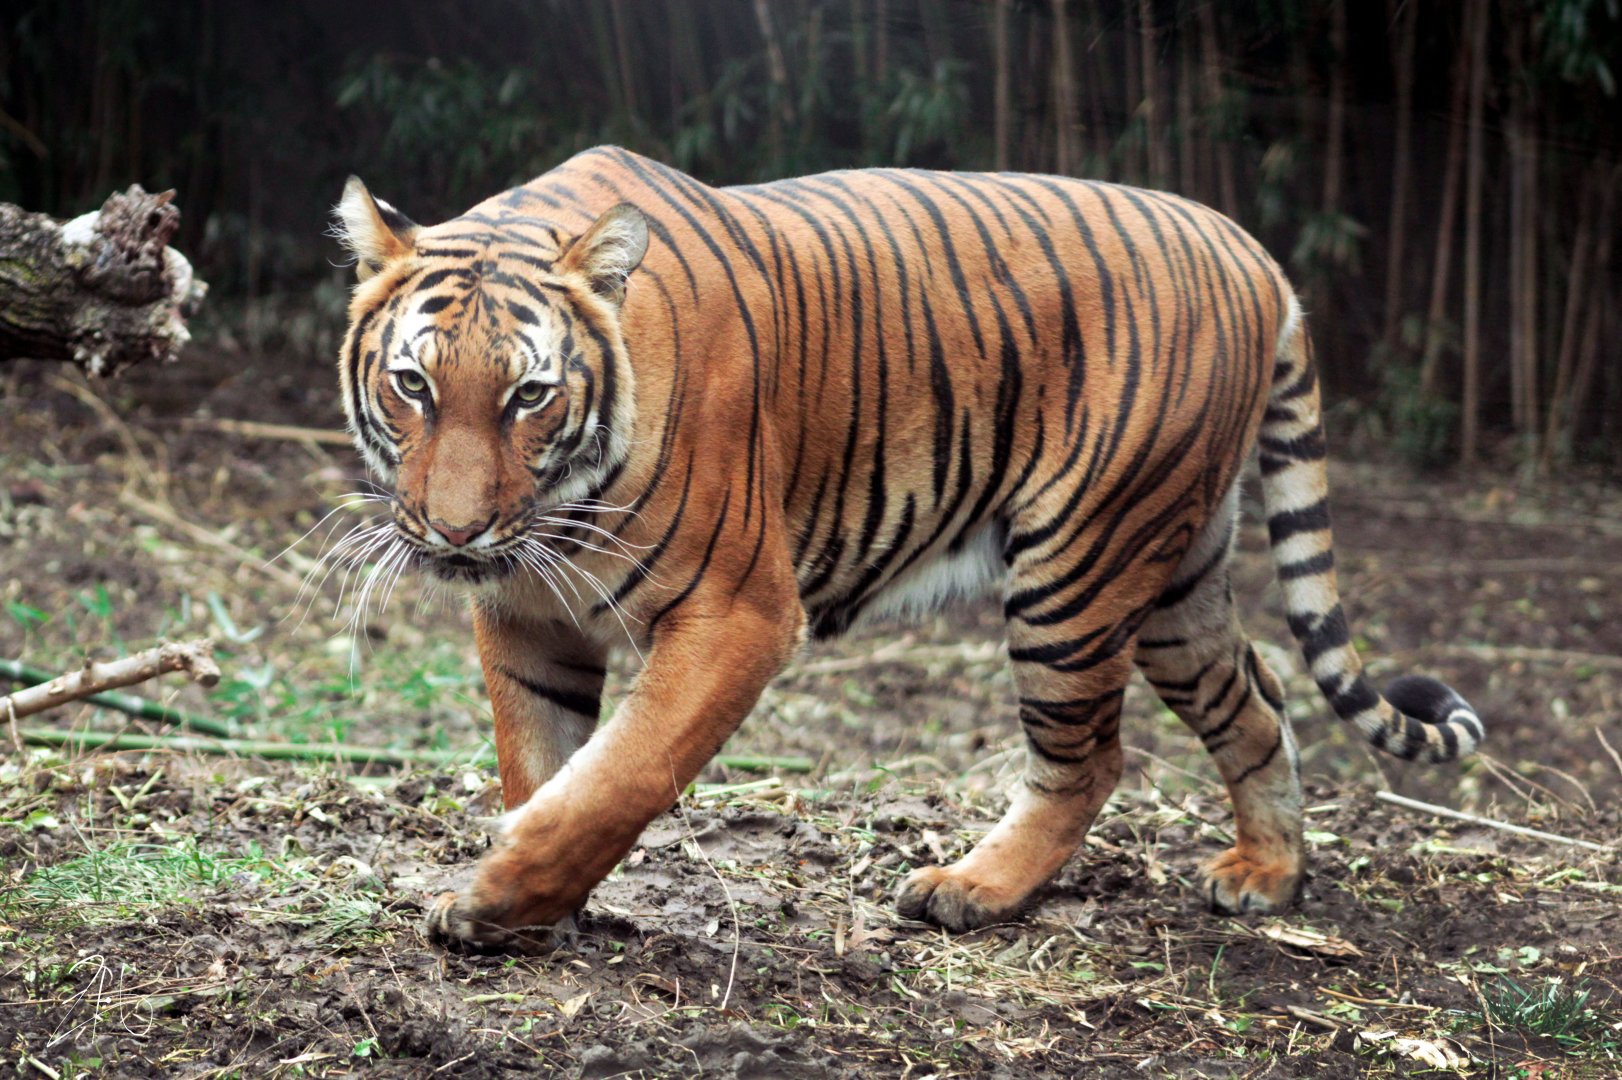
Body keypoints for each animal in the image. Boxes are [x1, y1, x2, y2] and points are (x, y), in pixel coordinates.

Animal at [331, 146, 1484, 950]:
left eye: (529, 395)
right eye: (413, 384)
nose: (456, 531)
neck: (556, 512)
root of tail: (1256, 253)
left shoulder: (739, 612)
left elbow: (623, 769)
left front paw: (504, 891)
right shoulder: (527, 616)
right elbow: (540, 761)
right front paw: (528, 910)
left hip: (1077, 567)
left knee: (1089, 759)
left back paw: (971, 888)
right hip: (1175, 579)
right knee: (1256, 703)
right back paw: (1268, 872)